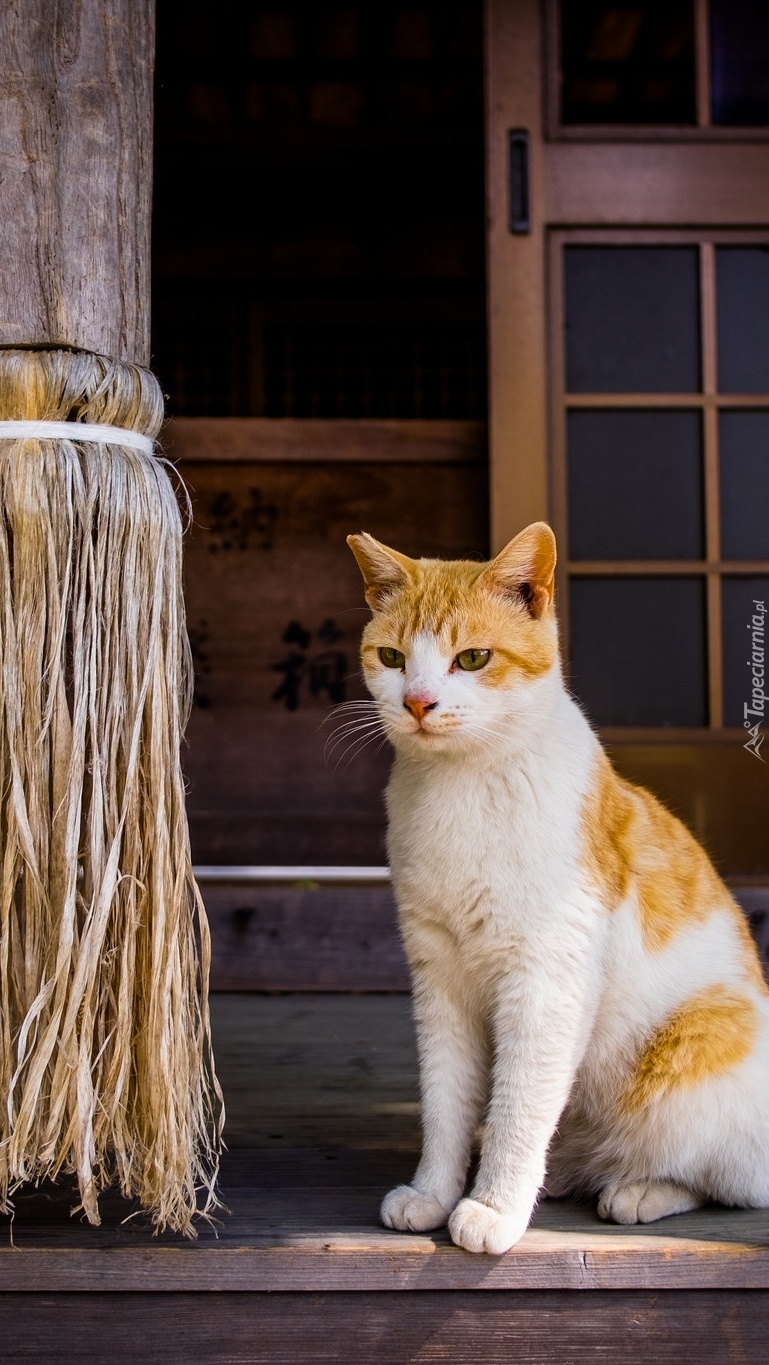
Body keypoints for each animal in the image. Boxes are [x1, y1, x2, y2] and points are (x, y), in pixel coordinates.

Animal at [346, 521, 769, 1255]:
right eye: (392, 657)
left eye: (473, 658)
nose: (418, 702)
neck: (461, 789)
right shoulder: (438, 975)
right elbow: (446, 1098)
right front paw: (433, 1192)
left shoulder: (546, 977)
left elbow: (519, 1102)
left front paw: (493, 1207)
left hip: (703, 1038)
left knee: (727, 1178)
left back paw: (637, 1189)